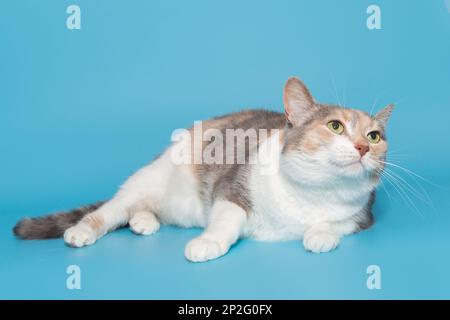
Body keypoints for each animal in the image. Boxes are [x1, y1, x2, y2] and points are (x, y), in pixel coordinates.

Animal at [13, 77, 394, 262]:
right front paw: (208, 243)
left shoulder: (363, 215)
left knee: (144, 212)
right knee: (109, 211)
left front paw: (320, 235)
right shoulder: (230, 188)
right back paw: (83, 230)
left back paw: (143, 222)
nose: (363, 148)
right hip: (144, 182)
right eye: (335, 127)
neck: (314, 193)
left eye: (375, 136)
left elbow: (337, 224)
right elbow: (227, 219)